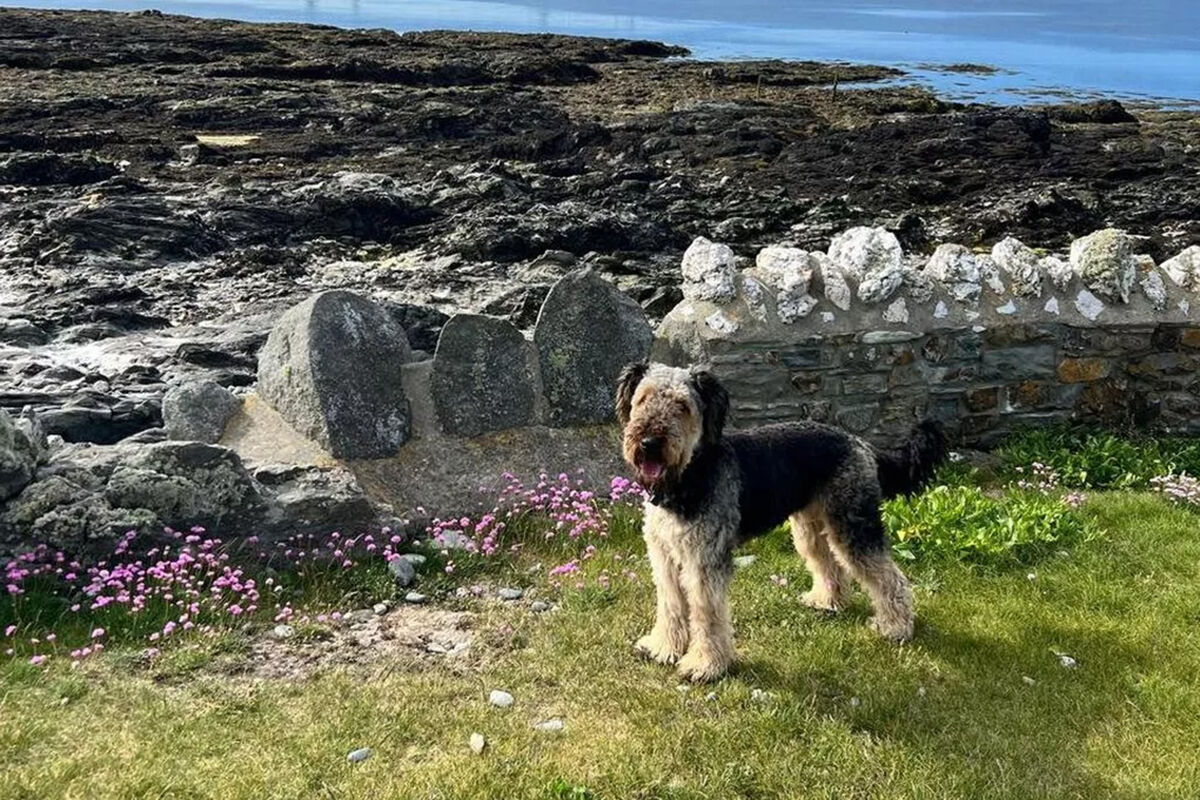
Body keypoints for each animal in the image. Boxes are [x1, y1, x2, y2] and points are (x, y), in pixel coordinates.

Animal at [615, 361, 947, 682]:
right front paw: (663, 647)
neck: (687, 478)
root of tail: (859, 443)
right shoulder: (665, 558)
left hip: (853, 528)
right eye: (642, 399)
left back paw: (896, 627)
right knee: (831, 566)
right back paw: (828, 601)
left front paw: (706, 665)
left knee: (892, 578)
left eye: (682, 405)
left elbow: (706, 614)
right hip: (811, 529)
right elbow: (671, 606)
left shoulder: (704, 562)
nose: (648, 443)